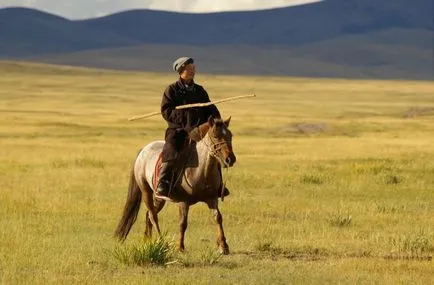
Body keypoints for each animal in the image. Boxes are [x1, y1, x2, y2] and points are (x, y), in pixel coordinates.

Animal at [113, 115, 236, 253]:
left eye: (230, 135)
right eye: (215, 135)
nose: (230, 159)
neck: (201, 171)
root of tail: (144, 150)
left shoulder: (212, 198)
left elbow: (217, 217)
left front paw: (223, 246)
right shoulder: (184, 202)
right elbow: (183, 222)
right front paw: (180, 247)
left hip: (159, 197)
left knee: (149, 215)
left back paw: (147, 241)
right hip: (145, 191)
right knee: (153, 215)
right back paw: (162, 242)